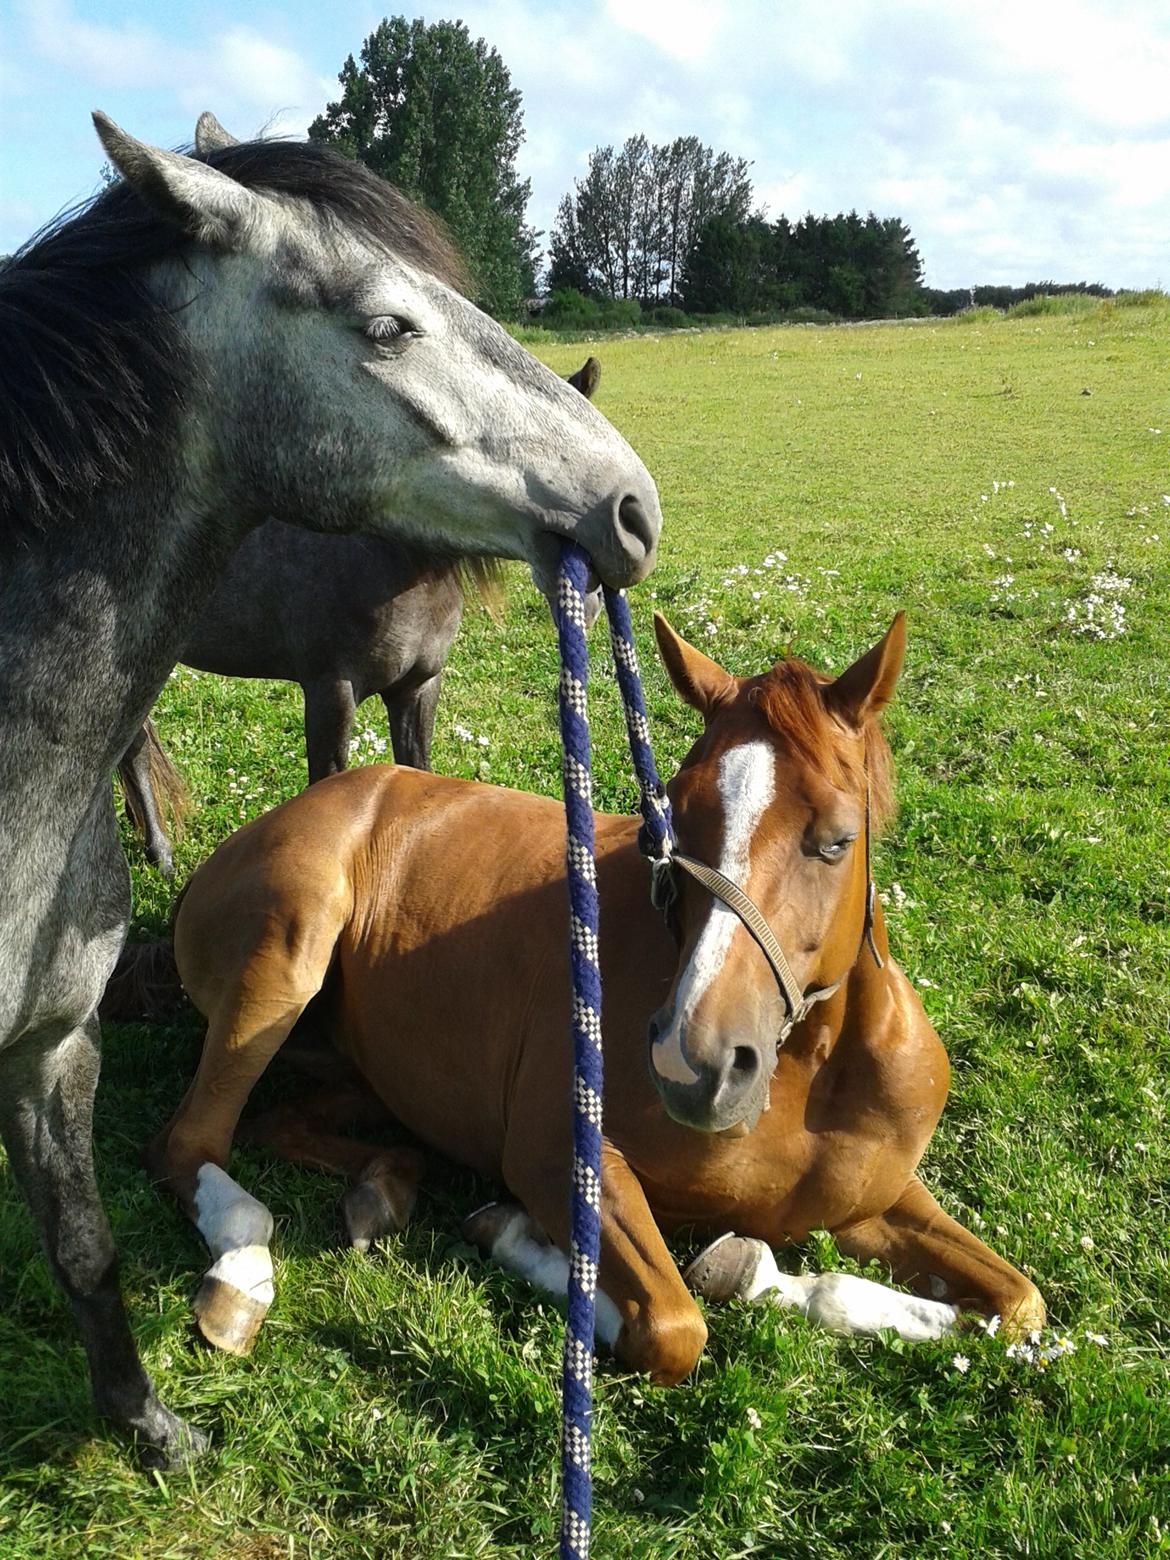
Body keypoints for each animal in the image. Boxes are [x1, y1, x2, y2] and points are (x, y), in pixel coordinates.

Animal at [0, 109, 661, 1460]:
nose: (633, 505)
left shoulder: (53, 1047)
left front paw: (153, 1429)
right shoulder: (330, 689)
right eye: (390, 325)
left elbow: (85, 1246)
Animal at [148, 608, 1042, 1379]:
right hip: (283, 961)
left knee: (285, 1123)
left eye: (835, 841)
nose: (692, 1065)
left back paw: (387, 1182)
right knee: (194, 1141)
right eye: (666, 823)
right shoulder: (557, 1154)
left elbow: (1017, 1306)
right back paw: (240, 1280)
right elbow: (671, 1327)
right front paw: (516, 1234)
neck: (811, 1074)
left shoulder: (877, 1206)